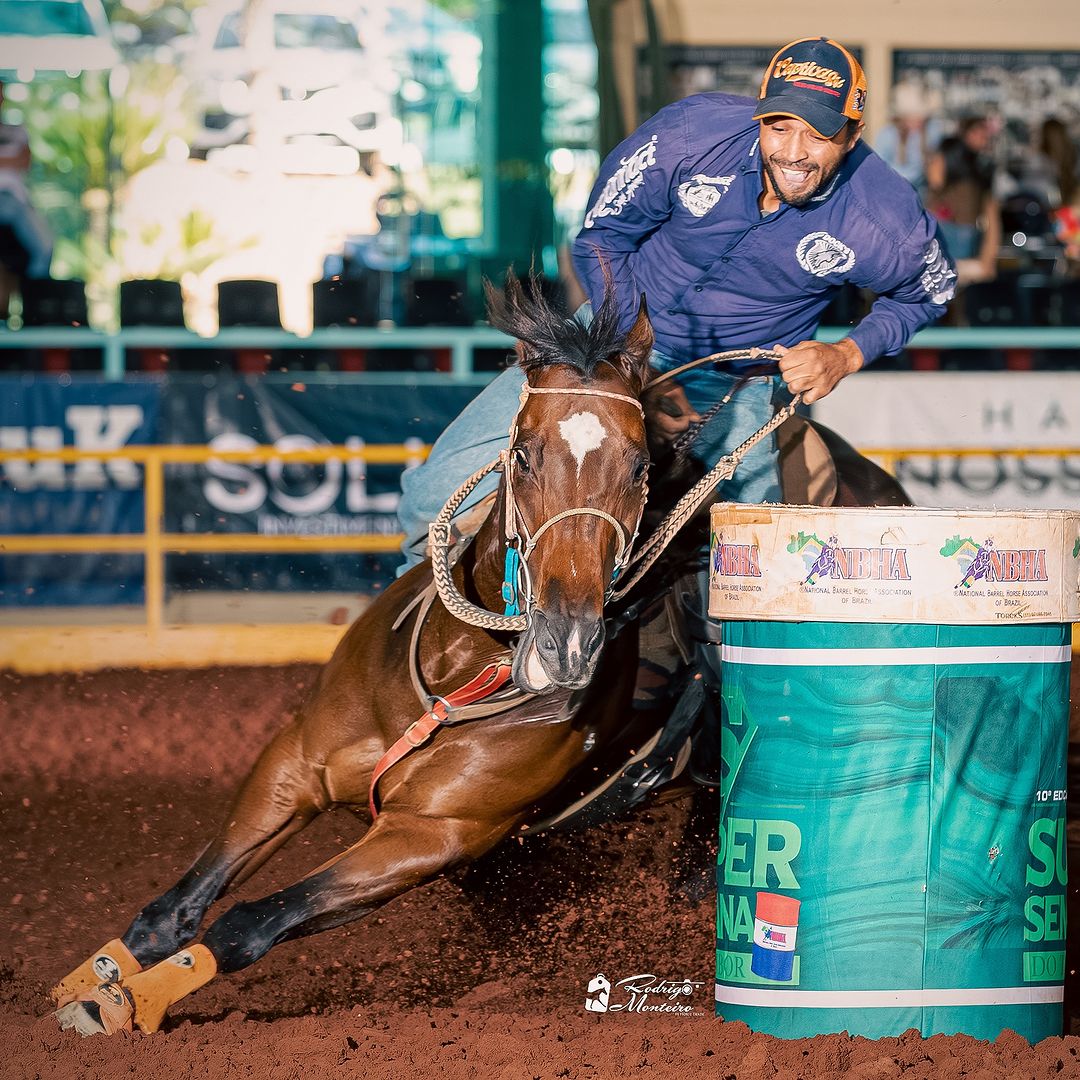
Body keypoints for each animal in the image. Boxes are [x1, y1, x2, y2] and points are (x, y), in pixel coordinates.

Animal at [52, 274, 911, 1032]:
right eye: (524, 453)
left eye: (638, 467)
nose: (567, 637)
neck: (462, 669)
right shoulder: (293, 763)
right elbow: (177, 908)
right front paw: (86, 983)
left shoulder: (432, 835)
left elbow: (247, 924)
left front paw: (126, 1004)